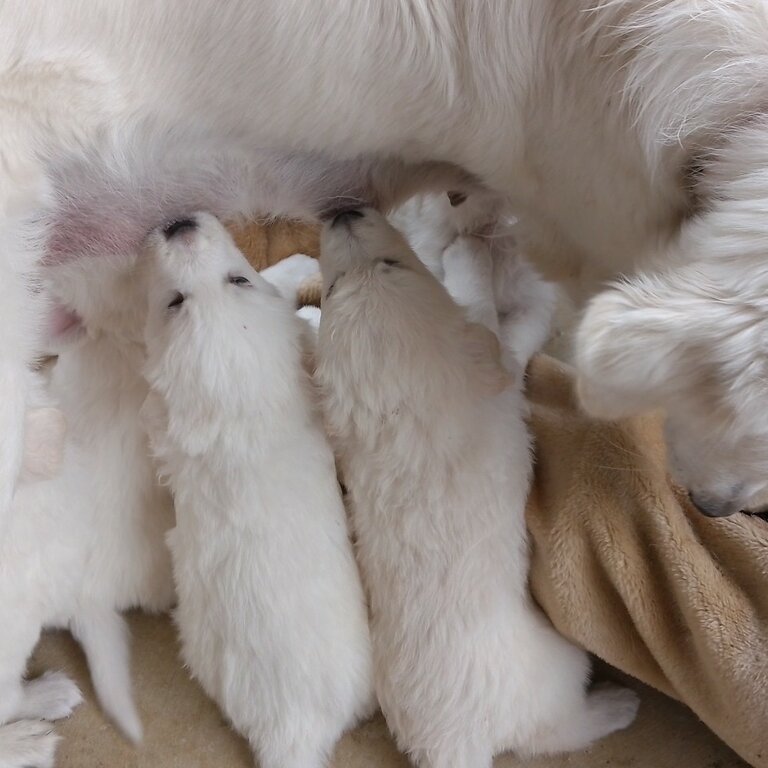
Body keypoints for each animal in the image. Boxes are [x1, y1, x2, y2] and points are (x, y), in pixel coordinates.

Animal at [316, 210, 640, 768]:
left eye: (390, 263)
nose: (342, 212)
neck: (408, 420)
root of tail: (455, 742)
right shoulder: (497, 361)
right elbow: (497, 321)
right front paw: (469, 254)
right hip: (557, 671)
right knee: (558, 731)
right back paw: (620, 703)